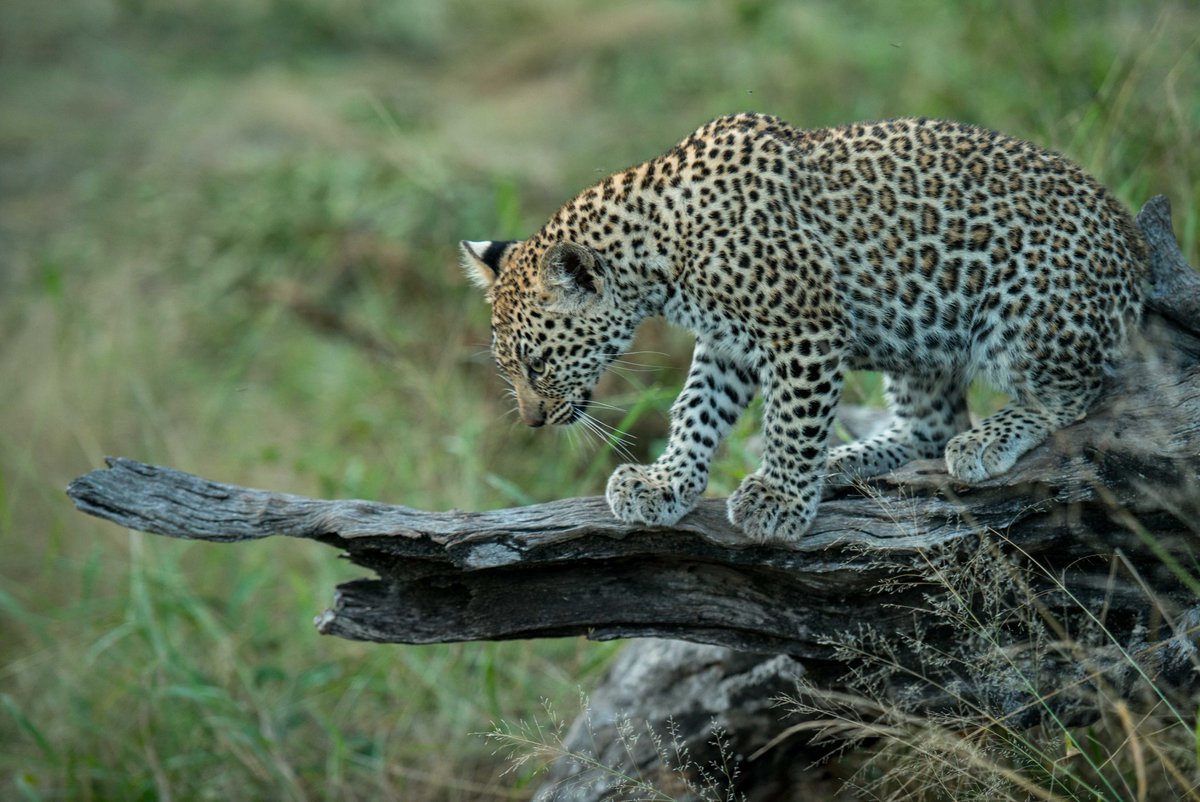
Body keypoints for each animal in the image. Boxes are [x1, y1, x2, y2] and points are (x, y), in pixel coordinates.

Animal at [461, 113, 1146, 543]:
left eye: (538, 363)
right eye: (508, 369)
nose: (532, 421)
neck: (660, 255)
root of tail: (1136, 246)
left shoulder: (803, 331)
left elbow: (791, 420)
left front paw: (780, 500)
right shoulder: (726, 342)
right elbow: (696, 410)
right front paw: (666, 483)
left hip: (1022, 309)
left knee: (1077, 393)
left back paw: (986, 440)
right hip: (919, 330)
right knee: (931, 424)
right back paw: (850, 460)